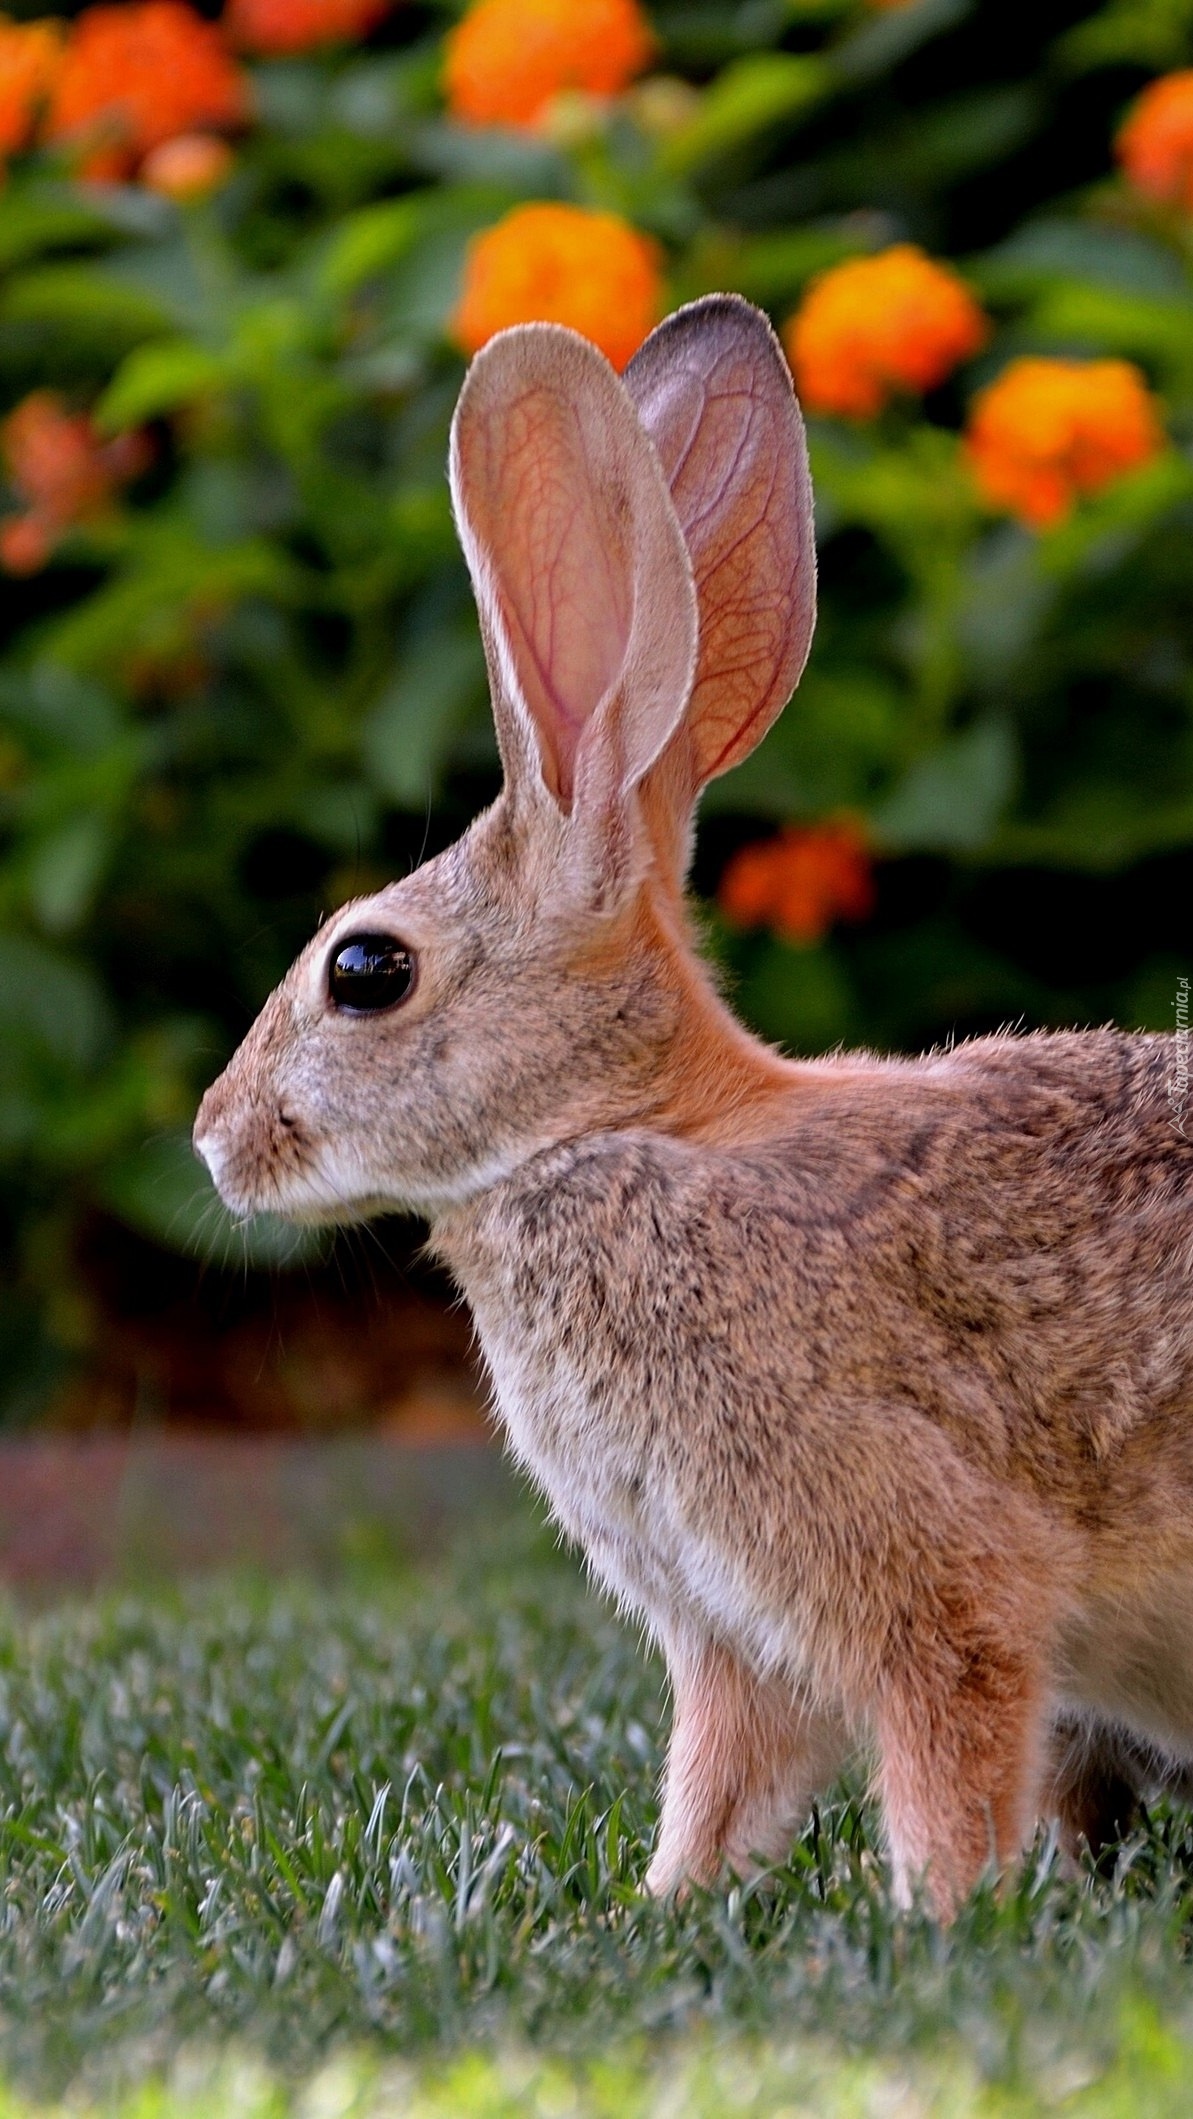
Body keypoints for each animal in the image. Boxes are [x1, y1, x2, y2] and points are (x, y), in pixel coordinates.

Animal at [193, 294, 1193, 1924]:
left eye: (365, 969)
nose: (215, 1140)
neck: (615, 1133)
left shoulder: (910, 1562)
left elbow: (944, 1730)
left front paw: (932, 1917)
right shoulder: (724, 1628)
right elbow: (721, 1773)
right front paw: (665, 1903)